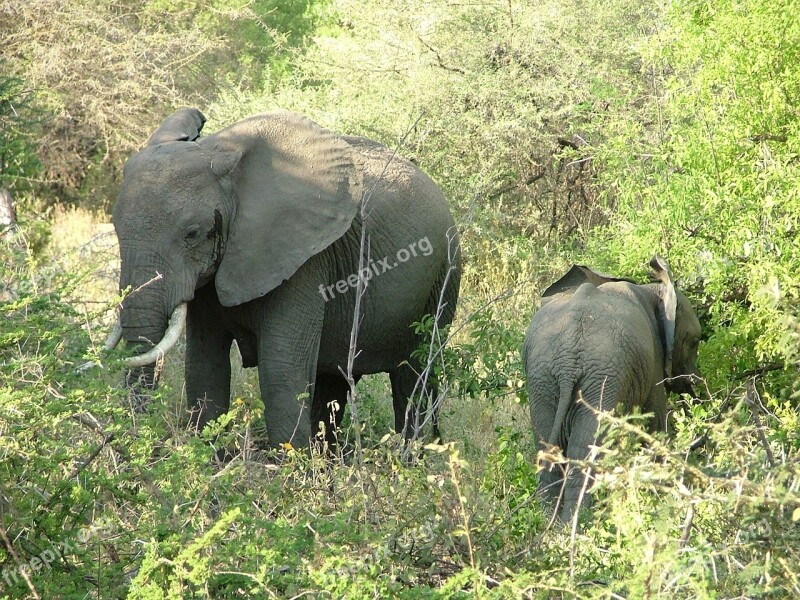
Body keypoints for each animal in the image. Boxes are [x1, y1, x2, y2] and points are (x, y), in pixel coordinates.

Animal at [106, 108, 460, 448]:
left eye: (192, 234)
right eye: (116, 230)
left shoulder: (303, 260)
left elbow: (280, 372)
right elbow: (204, 368)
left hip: (443, 276)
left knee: (412, 379)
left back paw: (410, 457)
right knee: (332, 384)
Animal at [520, 256, 696, 520]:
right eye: (695, 343)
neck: (651, 288)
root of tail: (567, 362)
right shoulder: (653, 361)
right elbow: (655, 426)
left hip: (542, 381)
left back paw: (553, 527)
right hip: (600, 379)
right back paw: (577, 525)